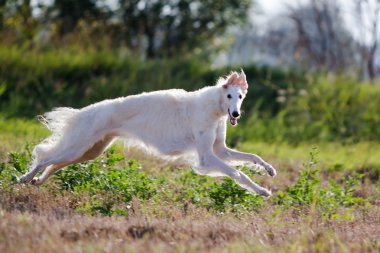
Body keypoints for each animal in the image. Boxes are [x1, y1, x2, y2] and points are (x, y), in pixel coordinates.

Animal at [20, 70, 276, 197]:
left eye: (240, 96)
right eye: (229, 96)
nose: (235, 114)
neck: (212, 106)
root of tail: (86, 111)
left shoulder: (219, 150)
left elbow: (252, 157)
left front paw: (269, 170)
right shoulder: (206, 157)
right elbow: (238, 173)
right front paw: (262, 190)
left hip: (90, 151)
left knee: (54, 165)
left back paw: (37, 181)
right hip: (79, 147)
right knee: (44, 158)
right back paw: (24, 178)